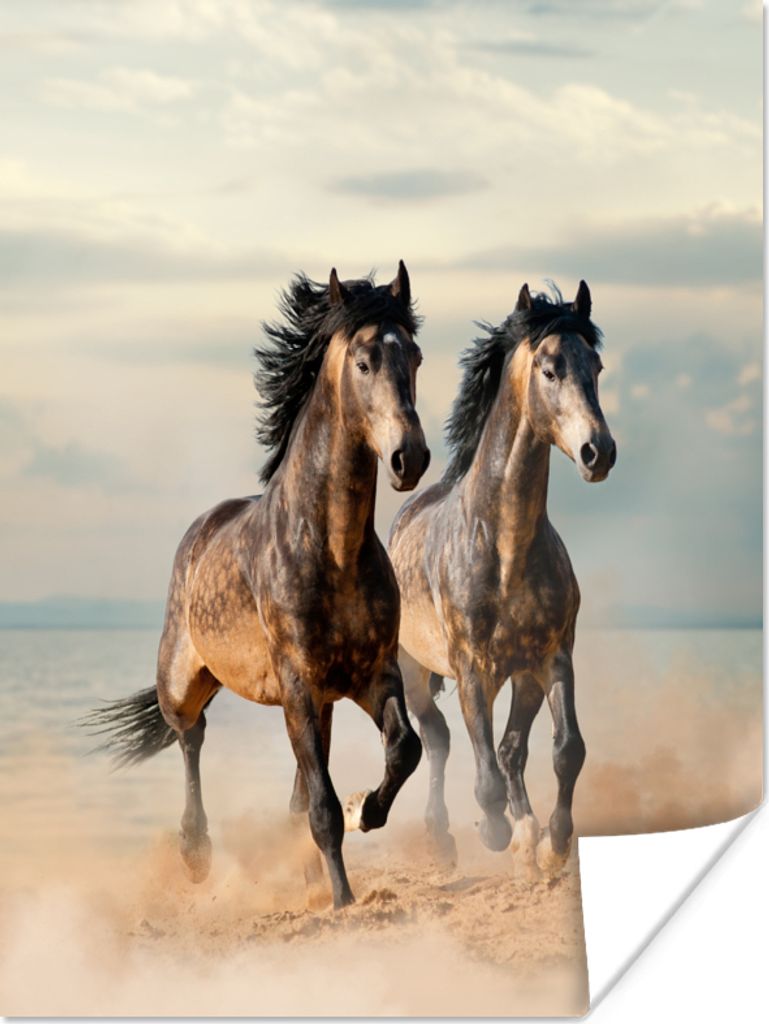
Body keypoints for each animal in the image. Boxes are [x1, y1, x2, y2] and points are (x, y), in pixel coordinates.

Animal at [84, 262, 431, 909]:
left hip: (320, 699)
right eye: (364, 361)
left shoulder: (371, 673)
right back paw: (196, 855)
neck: (332, 550)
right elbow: (321, 806)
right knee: (190, 736)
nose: (409, 458)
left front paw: (368, 811)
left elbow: (403, 749)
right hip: (184, 679)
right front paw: (343, 899)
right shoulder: (297, 683)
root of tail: (200, 530)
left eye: (416, 356)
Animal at [388, 280, 615, 877]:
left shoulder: (552, 656)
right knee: (439, 740)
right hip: (416, 672)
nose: (599, 452)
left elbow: (567, 750)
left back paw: (528, 833)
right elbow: (483, 769)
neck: (505, 548)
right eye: (550, 369)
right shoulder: (473, 669)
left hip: (524, 676)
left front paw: (552, 841)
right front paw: (494, 831)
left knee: (513, 749)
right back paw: (445, 837)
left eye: (596, 366)